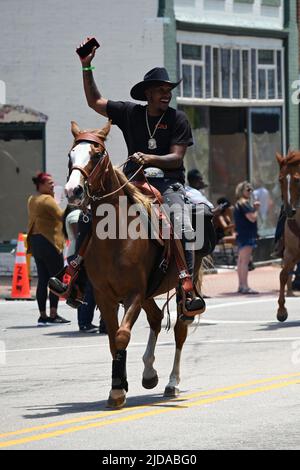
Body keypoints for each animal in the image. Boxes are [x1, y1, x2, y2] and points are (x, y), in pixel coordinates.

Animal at [65, 120, 206, 408]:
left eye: (96, 154)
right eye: (70, 155)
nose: (73, 191)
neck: (115, 236)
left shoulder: (134, 293)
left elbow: (122, 335)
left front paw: (118, 390)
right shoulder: (105, 296)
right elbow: (113, 340)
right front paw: (119, 384)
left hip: (179, 289)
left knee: (179, 329)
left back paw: (172, 383)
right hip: (149, 292)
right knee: (156, 318)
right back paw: (149, 372)